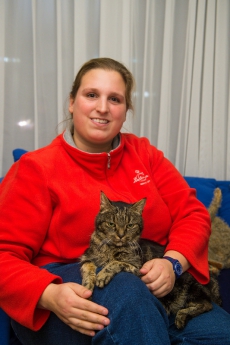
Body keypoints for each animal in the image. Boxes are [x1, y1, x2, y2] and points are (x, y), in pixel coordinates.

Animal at [80, 191, 221, 328]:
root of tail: (213, 281)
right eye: (111, 224)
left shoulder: (138, 267)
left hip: (190, 288)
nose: (120, 235)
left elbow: (116, 262)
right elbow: (87, 268)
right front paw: (87, 288)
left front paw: (102, 274)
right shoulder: (86, 257)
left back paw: (182, 316)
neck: (110, 248)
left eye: (130, 225)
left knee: (207, 305)